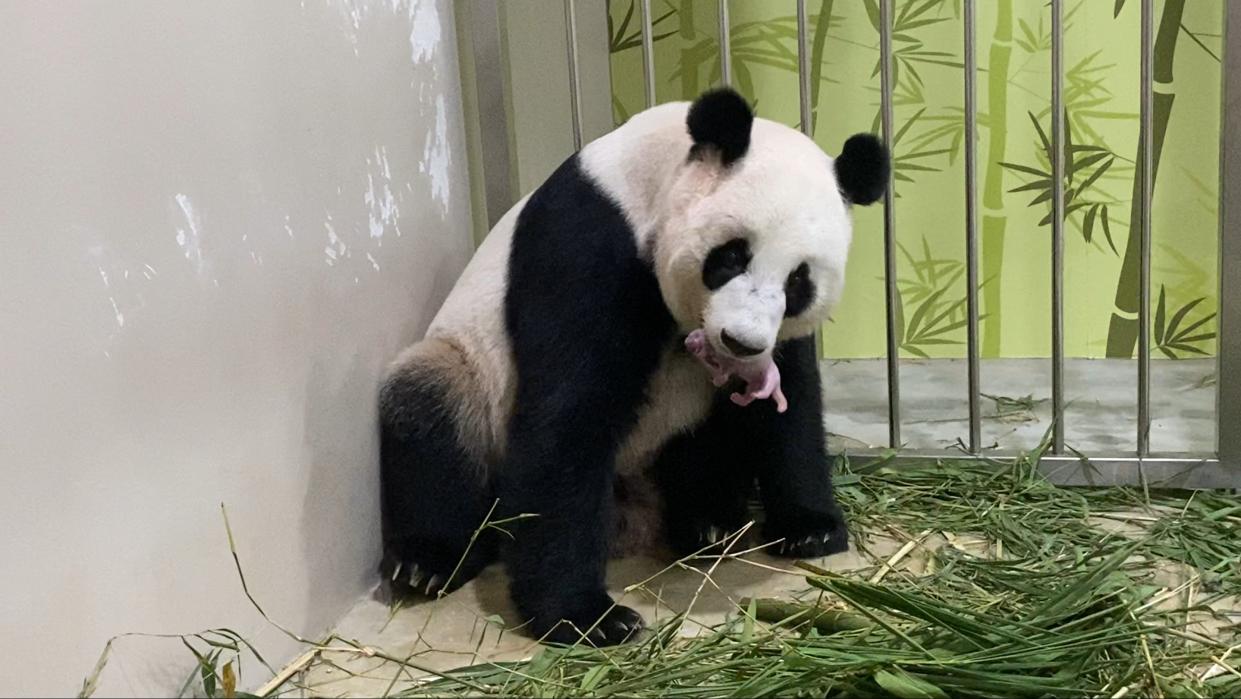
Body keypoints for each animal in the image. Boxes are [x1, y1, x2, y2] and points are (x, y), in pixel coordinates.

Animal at [379, 90, 893, 650]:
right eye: (732, 257)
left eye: (799, 281)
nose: (740, 342)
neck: (649, 180)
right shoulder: (588, 243)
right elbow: (569, 414)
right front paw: (587, 617)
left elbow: (790, 404)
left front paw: (810, 528)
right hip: (469, 375)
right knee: (431, 411)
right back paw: (428, 562)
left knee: (708, 443)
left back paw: (707, 520)